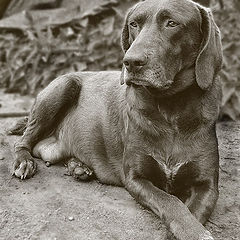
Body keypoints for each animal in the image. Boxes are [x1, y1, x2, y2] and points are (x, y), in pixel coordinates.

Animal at [11, 0, 222, 238]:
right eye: (133, 24)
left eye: (171, 23)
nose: (131, 61)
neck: (170, 110)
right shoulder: (136, 178)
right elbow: (171, 202)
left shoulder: (207, 186)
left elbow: (190, 209)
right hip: (64, 86)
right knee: (24, 141)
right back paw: (24, 161)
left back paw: (78, 166)